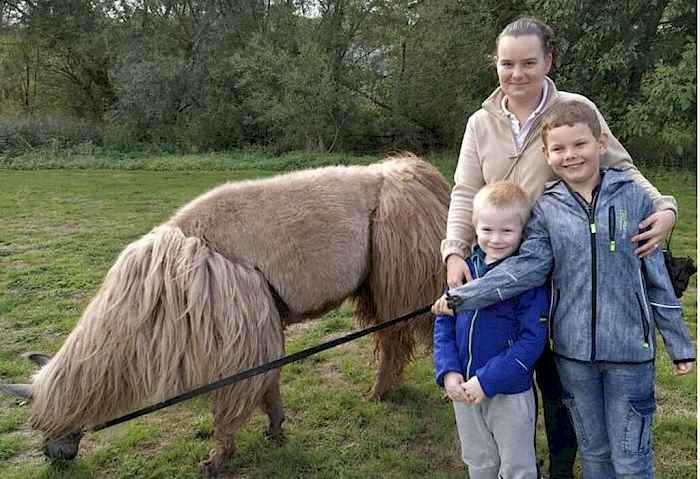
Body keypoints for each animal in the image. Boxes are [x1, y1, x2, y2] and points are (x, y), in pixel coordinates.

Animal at [0, 154, 449, 477]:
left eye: (43, 423)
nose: (53, 456)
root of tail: (418, 173)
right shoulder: (258, 326)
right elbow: (268, 385)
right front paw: (275, 430)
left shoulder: (238, 339)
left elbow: (230, 404)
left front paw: (217, 459)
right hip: (379, 282)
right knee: (394, 338)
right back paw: (381, 392)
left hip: (407, 270)